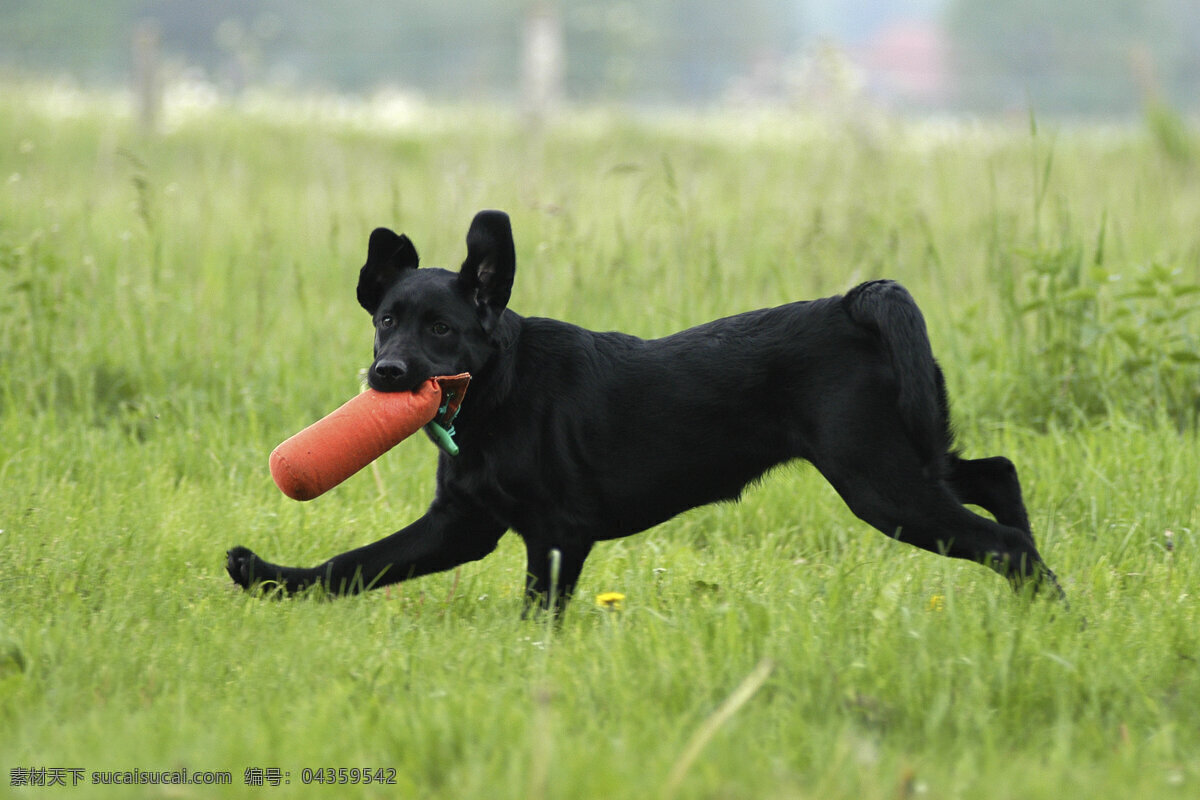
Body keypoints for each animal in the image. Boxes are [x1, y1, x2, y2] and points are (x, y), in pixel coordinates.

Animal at [229, 209, 1065, 609]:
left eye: (442, 328)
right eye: (386, 319)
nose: (387, 374)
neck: (502, 394)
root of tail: (855, 305)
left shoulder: (557, 535)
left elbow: (537, 613)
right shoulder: (461, 526)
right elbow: (353, 565)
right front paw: (266, 577)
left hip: (879, 479)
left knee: (1000, 539)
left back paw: (1054, 610)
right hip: (908, 455)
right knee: (998, 474)